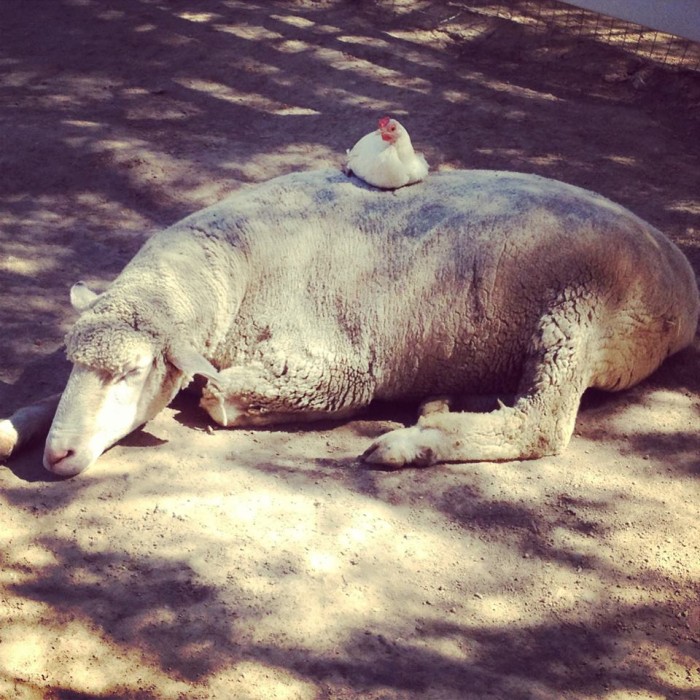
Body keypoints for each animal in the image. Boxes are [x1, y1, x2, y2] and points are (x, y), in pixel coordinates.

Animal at [1, 169, 700, 476]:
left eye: (136, 372)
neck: (231, 265)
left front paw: (219, 395)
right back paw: (438, 406)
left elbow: (219, 397)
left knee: (542, 426)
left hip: (575, 317)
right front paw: (16, 428)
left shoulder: (337, 363)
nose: (60, 455)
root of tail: (682, 277)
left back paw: (412, 442)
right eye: (74, 364)